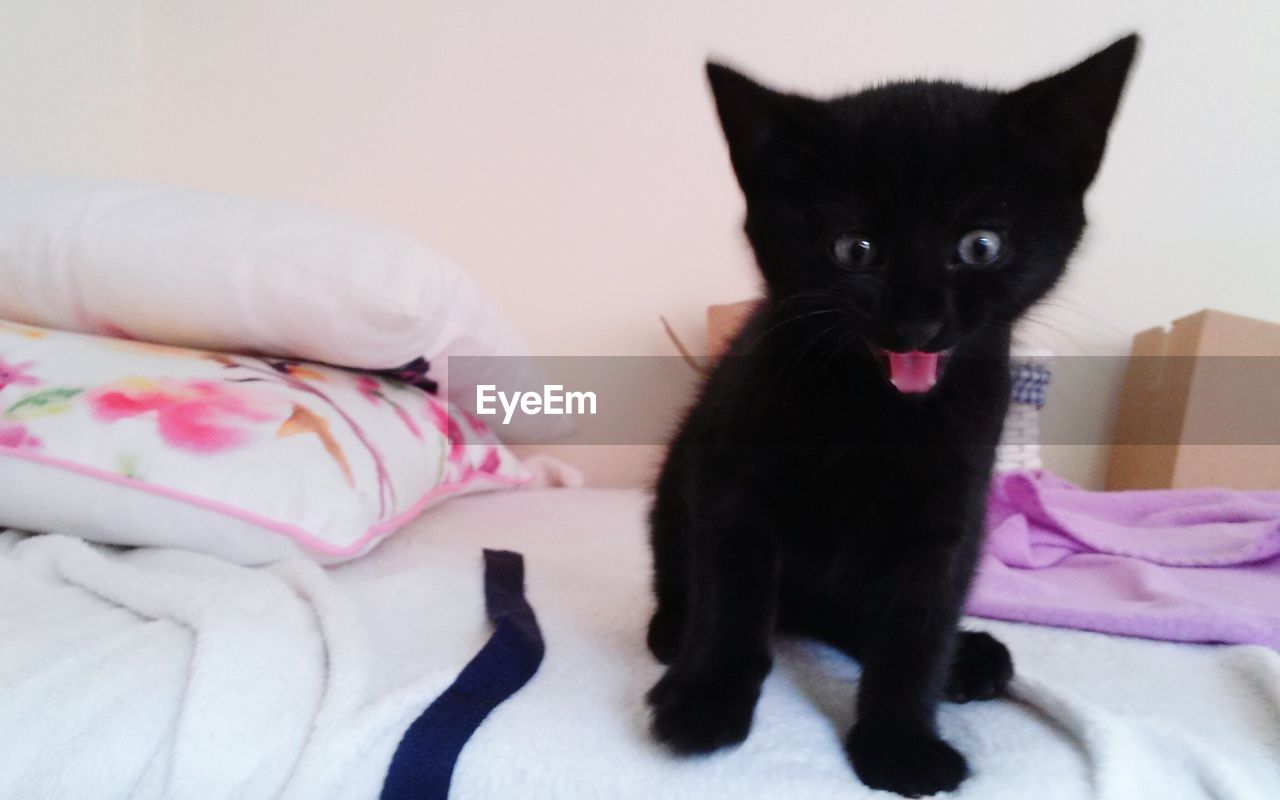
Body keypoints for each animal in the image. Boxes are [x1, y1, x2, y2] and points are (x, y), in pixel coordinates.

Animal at [645, 35, 1136, 793]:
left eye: (980, 246)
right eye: (855, 249)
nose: (917, 322)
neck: (876, 412)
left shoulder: (950, 512)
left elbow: (915, 628)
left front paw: (902, 743)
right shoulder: (732, 483)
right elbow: (732, 591)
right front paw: (706, 698)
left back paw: (969, 658)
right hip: (677, 479)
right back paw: (673, 634)